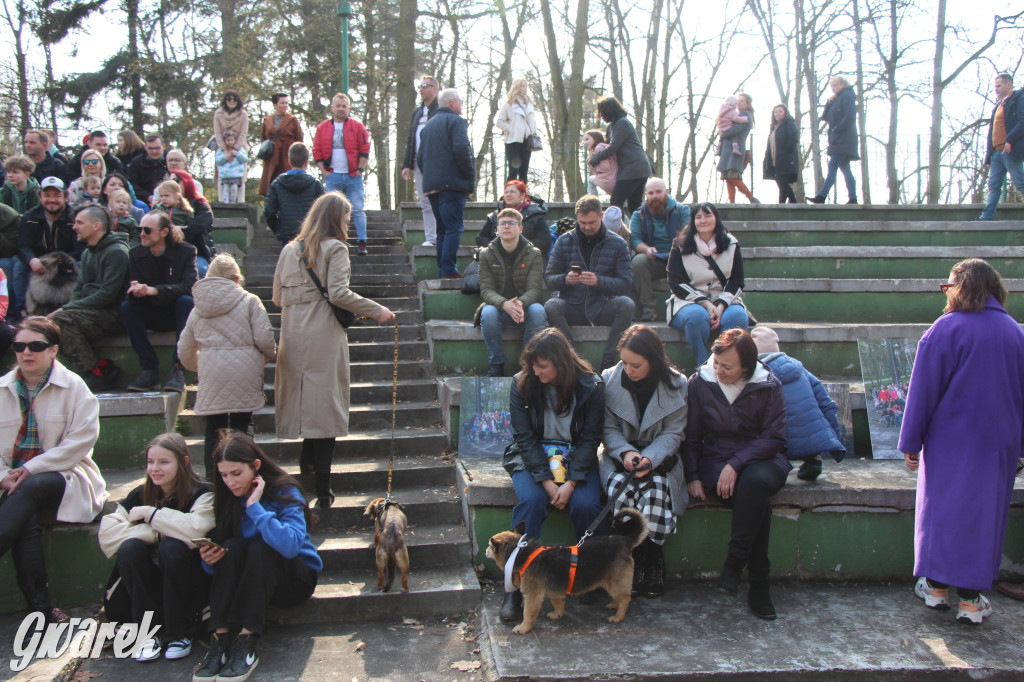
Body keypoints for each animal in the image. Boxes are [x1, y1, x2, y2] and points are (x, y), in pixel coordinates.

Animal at [485, 503, 647, 630]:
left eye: (489, 546)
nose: (485, 551)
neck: (521, 553)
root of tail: (625, 540)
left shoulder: (533, 596)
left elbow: (528, 614)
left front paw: (523, 628)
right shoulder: (555, 592)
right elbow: (558, 603)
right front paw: (557, 614)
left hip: (616, 582)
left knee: (625, 599)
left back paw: (618, 617)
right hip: (611, 582)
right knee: (620, 597)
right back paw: (614, 605)